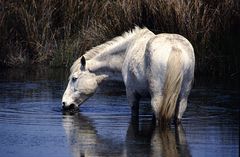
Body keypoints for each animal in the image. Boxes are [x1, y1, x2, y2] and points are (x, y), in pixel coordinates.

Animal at [62, 26, 195, 123]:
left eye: (74, 78)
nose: (64, 103)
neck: (127, 50)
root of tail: (175, 47)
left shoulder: (132, 95)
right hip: (182, 98)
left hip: (158, 99)